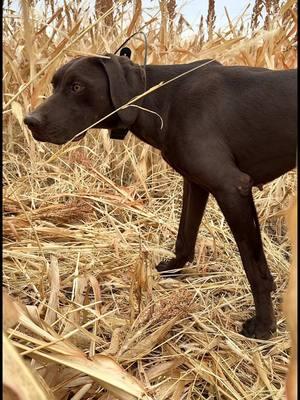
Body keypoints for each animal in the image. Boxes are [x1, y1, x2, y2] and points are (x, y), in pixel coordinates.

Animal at [24, 54, 296, 340]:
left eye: (77, 87)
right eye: (54, 85)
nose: (30, 121)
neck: (163, 98)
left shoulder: (232, 188)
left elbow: (254, 268)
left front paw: (264, 325)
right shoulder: (196, 183)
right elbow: (185, 237)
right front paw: (173, 268)